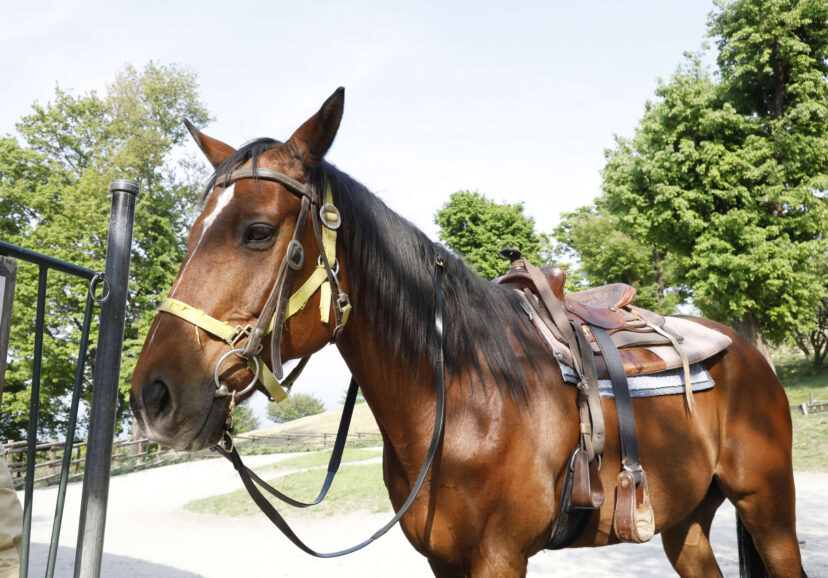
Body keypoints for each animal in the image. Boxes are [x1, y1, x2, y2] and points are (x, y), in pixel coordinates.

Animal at [129, 88, 804, 572]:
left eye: (258, 231)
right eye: (191, 233)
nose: (153, 396)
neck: (466, 396)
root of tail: (749, 353)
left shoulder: (499, 559)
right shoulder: (444, 562)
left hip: (769, 508)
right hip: (684, 520)